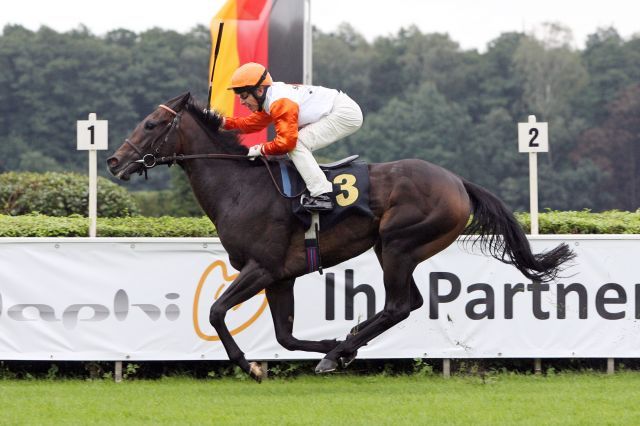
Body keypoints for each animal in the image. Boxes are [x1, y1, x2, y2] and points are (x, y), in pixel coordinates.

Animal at [105, 93, 576, 382]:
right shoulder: (281, 277)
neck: (241, 187)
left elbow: (217, 312)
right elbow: (285, 336)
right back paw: (346, 345)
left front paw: (253, 366)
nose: (113, 161)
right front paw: (328, 344)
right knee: (407, 303)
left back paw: (340, 352)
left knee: (399, 305)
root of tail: (458, 181)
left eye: (151, 124)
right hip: (394, 249)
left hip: (400, 244)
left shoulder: (262, 268)